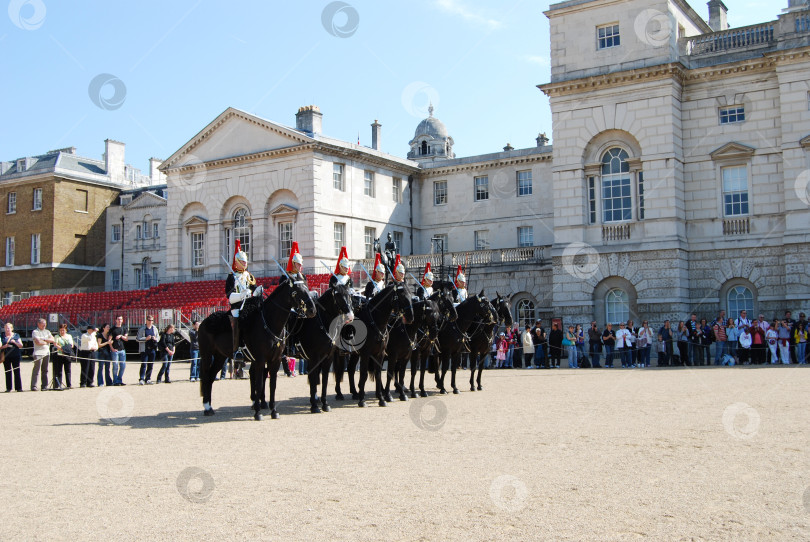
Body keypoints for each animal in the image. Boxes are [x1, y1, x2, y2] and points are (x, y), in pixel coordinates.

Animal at [199, 278, 316, 422]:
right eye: (296, 292)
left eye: (307, 288)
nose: (312, 310)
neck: (269, 323)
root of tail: (205, 321)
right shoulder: (260, 360)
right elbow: (259, 384)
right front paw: (258, 413)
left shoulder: (275, 360)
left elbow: (272, 385)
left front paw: (273, 411)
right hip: (206, 354)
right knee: (205, 376)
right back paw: (206, 407)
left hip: (220, 356)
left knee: (210, 377)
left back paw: (210, 407)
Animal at [290, 282, 354, 414]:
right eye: (338, 296)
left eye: (350, 295)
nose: (350, 315)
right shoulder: (314, 358)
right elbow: (314, 379)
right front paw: (314, 405)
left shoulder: (327, 358)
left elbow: (324, 380)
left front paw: (325, 404)